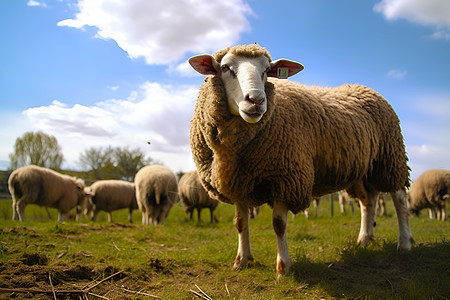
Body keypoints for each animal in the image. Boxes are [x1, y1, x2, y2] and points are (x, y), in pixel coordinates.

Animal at [188, 43, 414, 278]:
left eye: (266, 70)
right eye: (225, 68)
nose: (257, 100)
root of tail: (367, 88)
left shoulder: (287, 178)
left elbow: (279, 225)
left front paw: (283, 268)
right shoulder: (239, 182)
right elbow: (241, 223)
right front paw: (241, 260)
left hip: (389, 158)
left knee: (399, 198)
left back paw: (404, 243)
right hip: (363, 169)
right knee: (368, 201)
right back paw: (364, 239)